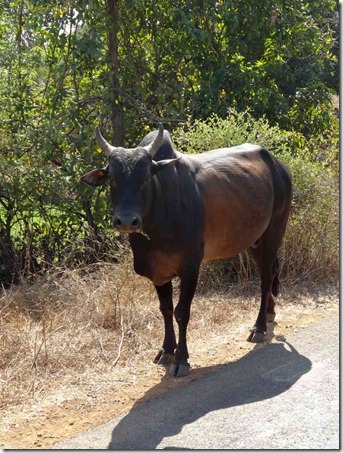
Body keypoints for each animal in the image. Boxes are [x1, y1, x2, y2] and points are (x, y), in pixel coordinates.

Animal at [81, 122, 292, 376]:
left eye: (145, 178)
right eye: (112, 178)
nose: (126, 221)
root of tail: (278, 166)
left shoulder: (190, 267)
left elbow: (182, 312)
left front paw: (181, 359)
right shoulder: (159, 272)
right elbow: (165, 309)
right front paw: (166, 350)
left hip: (274, 233)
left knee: (265, 279)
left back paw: (259, 327)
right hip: (254, 240)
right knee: (270, 273)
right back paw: (270, 312)